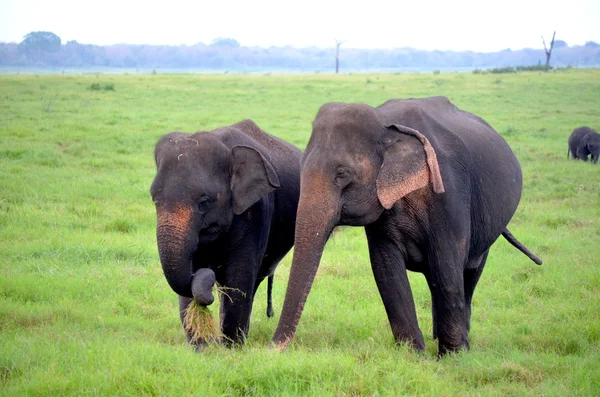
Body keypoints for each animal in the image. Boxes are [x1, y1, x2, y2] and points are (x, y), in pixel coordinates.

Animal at [150, 118, 300, 346]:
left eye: (203, 203)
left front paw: (231, 348)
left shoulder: (257, 209)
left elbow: (239, 275)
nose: (207, 272)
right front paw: (200, 347)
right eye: (155, 201)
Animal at [272, 96, 544, 356]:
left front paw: (452, 357)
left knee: (469, 271)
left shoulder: (450, 193)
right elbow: (386, 270)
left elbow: (446, 265)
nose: (271, 348)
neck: (386, 123)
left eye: (342, 174)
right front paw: (413, 354)